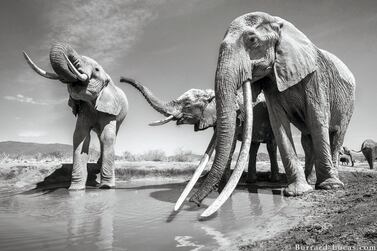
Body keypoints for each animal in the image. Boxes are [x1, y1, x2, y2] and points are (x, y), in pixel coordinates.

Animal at [22, 42, 128, 189]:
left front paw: (106, 187)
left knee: (108, 135)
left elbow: (107, 137)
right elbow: (80, 136)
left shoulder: (110, 107)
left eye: (96, 69)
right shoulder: (84, 109)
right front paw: (76, 189)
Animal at [178, 11, 354, 218]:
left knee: (336, 135)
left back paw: (331, 182)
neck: (281, 25)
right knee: (306, 138)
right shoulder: (271, 82)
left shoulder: (316, 77)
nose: (194, 203)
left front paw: (328, 187)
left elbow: (317, 119)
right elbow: (278, 123)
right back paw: (311, 181)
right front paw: (298, 192)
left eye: (252, 40)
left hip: (348, 105)